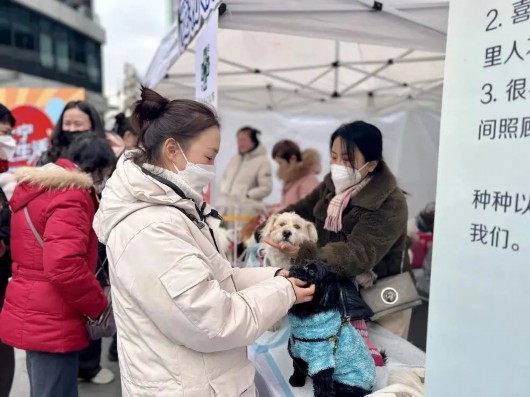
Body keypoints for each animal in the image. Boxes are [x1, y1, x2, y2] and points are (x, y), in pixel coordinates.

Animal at [284, 260, 376, 396]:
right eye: (305, 265)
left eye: (312, 271)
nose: (297, 266)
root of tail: (370, 388)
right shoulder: (296, 351)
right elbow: (297, 368)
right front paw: (296, 381)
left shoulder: (322, 361)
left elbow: (323, 387)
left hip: (348, 385)